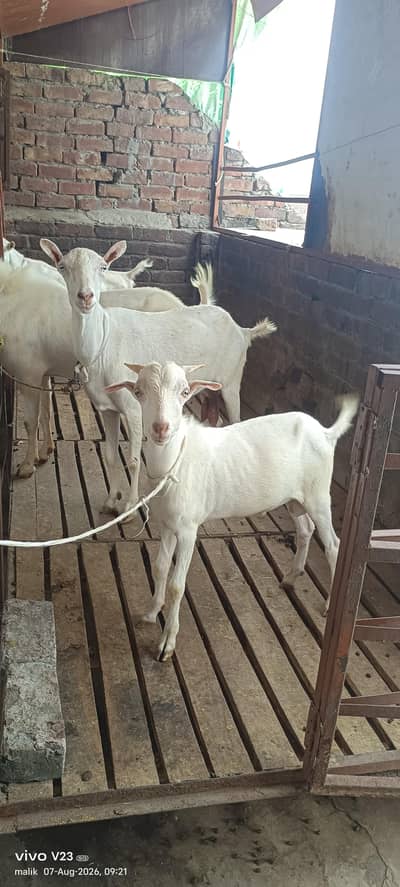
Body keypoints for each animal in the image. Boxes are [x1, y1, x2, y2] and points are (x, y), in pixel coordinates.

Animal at [41, 238, 276, 517]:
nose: (85, 297)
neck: (104, 343)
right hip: (212, 385)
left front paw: (130, 507)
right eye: (62, 267)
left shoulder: (133, 407)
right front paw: (111, 501)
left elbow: (132, 460)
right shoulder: (107, 408)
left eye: (103, 266)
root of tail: (243, 330)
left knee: (236, 418)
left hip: (232, 378)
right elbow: (111, 455)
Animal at [107, 361, 359, 660]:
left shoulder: (188, 529)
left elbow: (176, 585)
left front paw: (167, 643)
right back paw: (290, 577)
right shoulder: (168, 524)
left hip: (318, 495)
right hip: (295, 498)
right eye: (138, 392)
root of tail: (326, 432)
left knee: (333, 546)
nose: (161, 428)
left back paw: (329, 604)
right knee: (305, 529)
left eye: (184, 392)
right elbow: (159, 568)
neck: (175, 462)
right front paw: (150, 612)